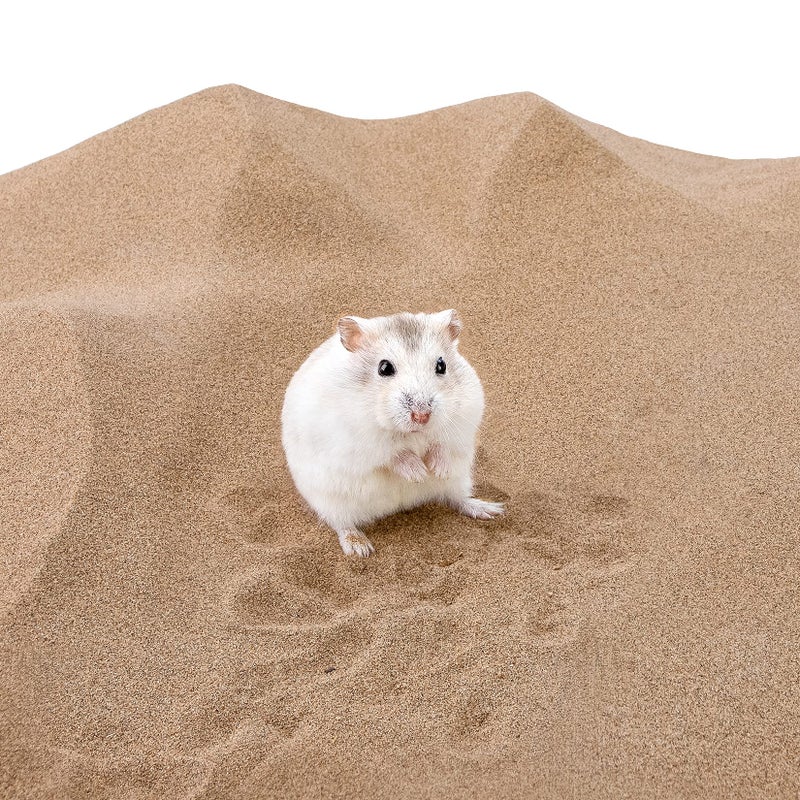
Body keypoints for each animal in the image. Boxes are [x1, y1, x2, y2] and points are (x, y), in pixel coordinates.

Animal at [281, 309, 503, 557]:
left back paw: (490, 510)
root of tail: (399, 506)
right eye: (384, 368)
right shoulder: (359, 440)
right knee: (342, 523)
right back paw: (359, 548)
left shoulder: (463, 420)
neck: (413, 433)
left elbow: (441, 445)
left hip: (460, 479)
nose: (422, 416)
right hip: (330, 500)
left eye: (441, 365)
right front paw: (419, 473)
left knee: (457, 499)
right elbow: (393, 454)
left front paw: (437, 470)